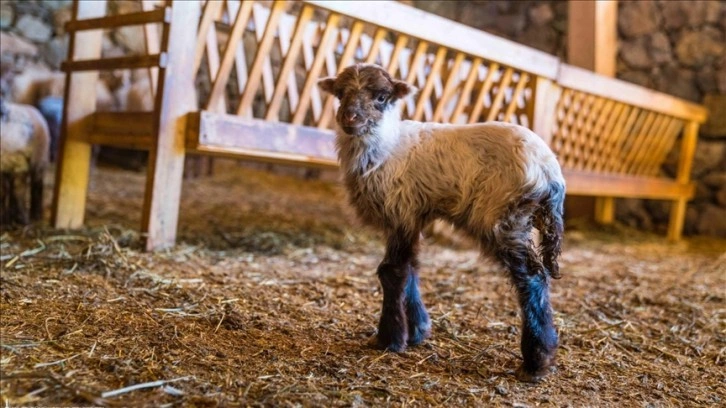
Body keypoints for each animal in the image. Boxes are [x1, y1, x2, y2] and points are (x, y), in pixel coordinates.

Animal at [320, 63, 568, 382]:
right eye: (340, 94)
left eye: (381, 97)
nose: (350, 117)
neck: (387, 146)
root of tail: (550, 172)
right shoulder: (411, 214)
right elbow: (411, 268)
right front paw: (417, 330)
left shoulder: (399, 209)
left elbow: (391, 272)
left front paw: (389, 339)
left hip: (504, 217)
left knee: (532, 278)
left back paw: (537, 360)